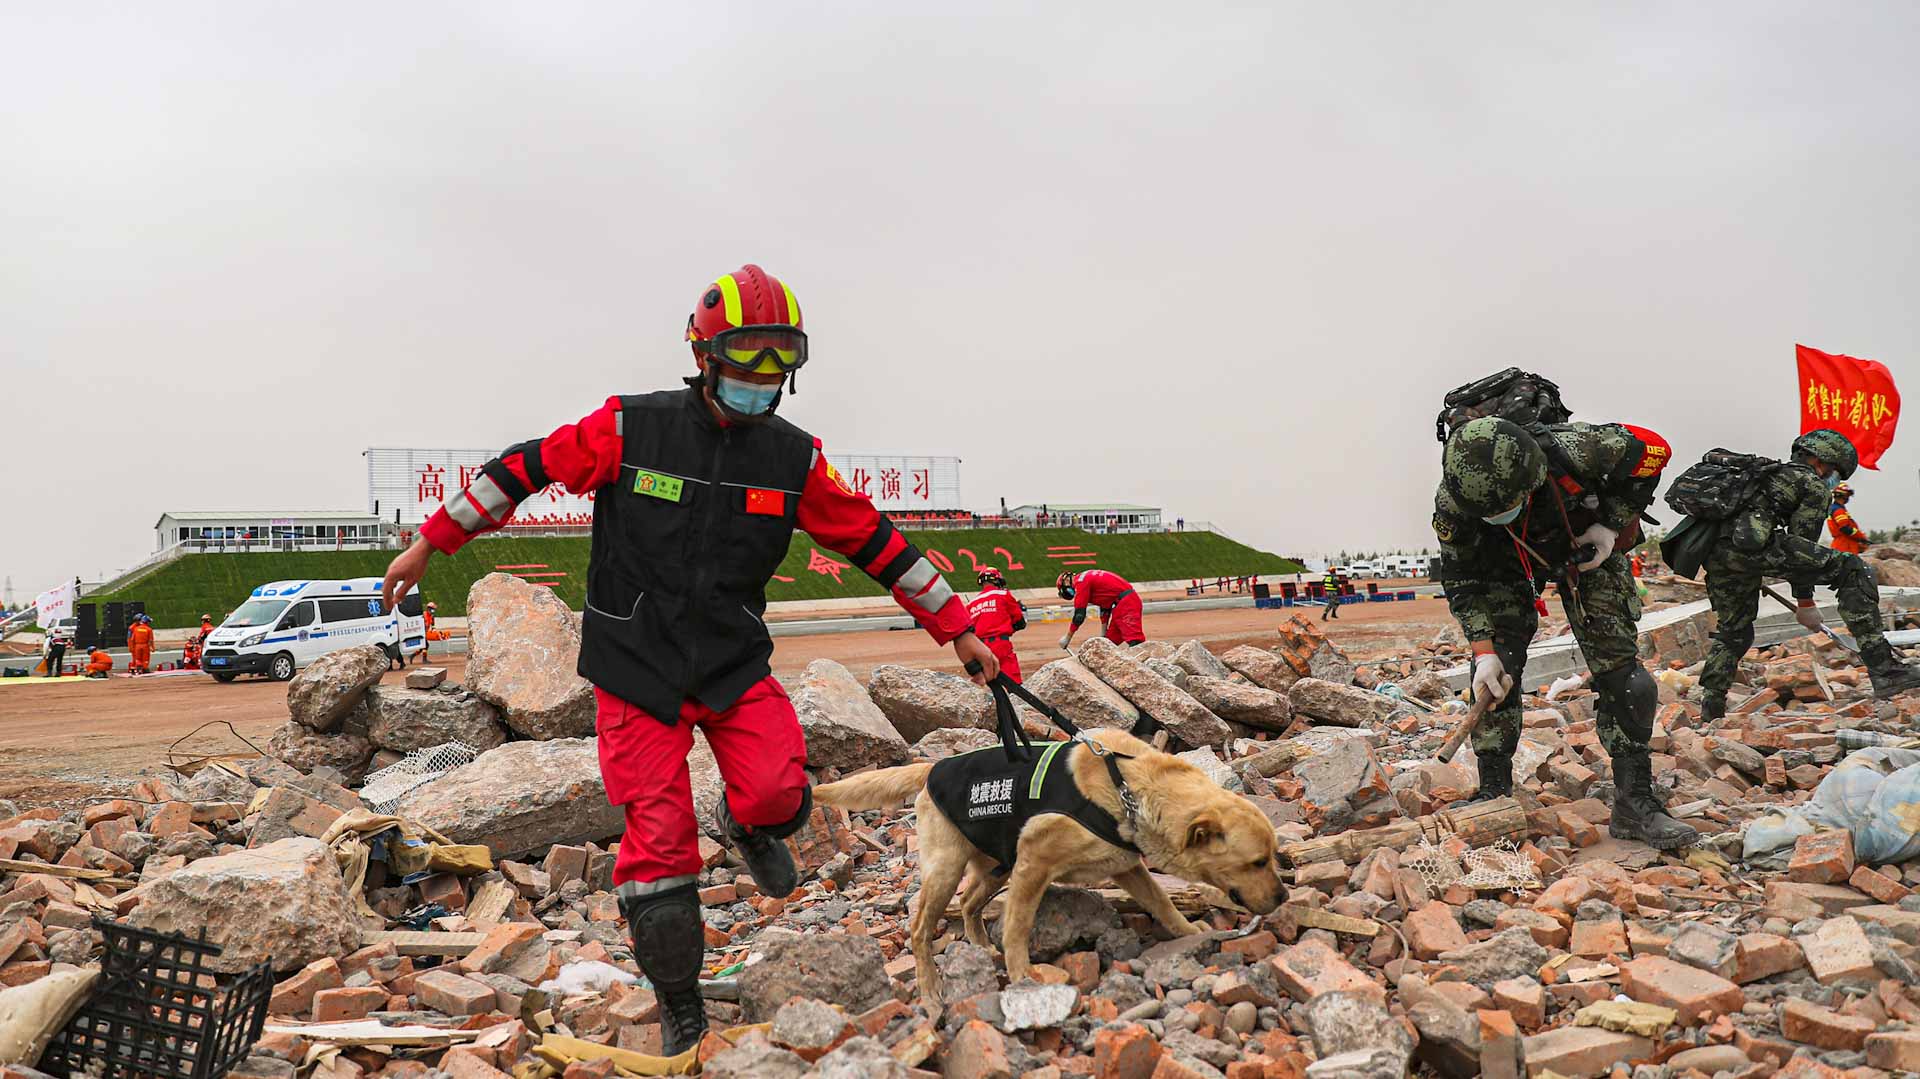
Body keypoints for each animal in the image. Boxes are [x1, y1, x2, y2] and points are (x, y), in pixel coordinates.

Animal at [810, 725, 1274, 1006]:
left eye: (1271, 857)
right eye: (1258, 861)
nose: (1283, 896)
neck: (1128, 790)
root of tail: (933, 766)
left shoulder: (1126, 865)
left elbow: (1162, 901)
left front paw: (1189, 930)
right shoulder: (1035, 861)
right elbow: (1017, 927)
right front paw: (1022, 974)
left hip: (999, 864)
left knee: (969, 903)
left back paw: (980, 947)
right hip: (949, 867)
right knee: (922, 927)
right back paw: (930, 988)